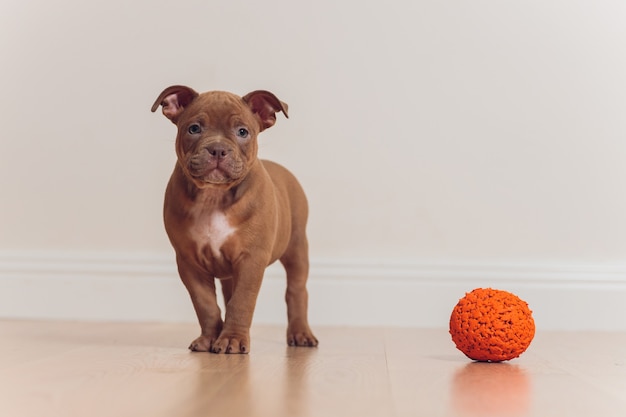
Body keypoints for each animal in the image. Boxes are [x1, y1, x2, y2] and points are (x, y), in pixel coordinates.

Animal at [151, 86, 316, 352]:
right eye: (194, 128)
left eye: (242, 132)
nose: (218, 149)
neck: (213, 196)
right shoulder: (189, 262)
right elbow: (206, 304)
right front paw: (209, 338)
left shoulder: (251, 260)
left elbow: (242, 302)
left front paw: (232, 340)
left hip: (297, 247)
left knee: (296, 290)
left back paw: (301, 333)